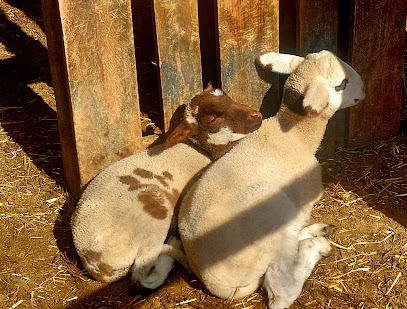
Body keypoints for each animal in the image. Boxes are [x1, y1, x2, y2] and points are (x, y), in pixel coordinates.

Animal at [71, 82, 262, 288]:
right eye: (212, 119)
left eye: (225, 96)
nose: (256, 115)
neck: (202, 150)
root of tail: (98, 263)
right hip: (153, 212)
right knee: (145, 266)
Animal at [178, 50, 366, 306]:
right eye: (341, 84)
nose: (364, 89)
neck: (295, 134)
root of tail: (216, 284)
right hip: (273, 214)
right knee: (281, 291)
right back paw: (314, 247)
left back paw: (314, 231)